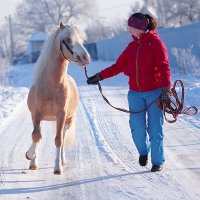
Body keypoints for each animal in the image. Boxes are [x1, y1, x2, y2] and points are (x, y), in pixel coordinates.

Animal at [25, 21, 90, 174]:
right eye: (68, 40)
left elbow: (58, 140)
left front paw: (57, 167)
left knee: (63, 137)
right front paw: (30, 158)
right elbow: (36, 136)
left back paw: (62, 160)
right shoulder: (36, 114)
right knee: (38, 135)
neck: (51, 86)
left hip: (67, 120)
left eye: (82, 39)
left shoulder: (61, 115)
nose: (86, 58)